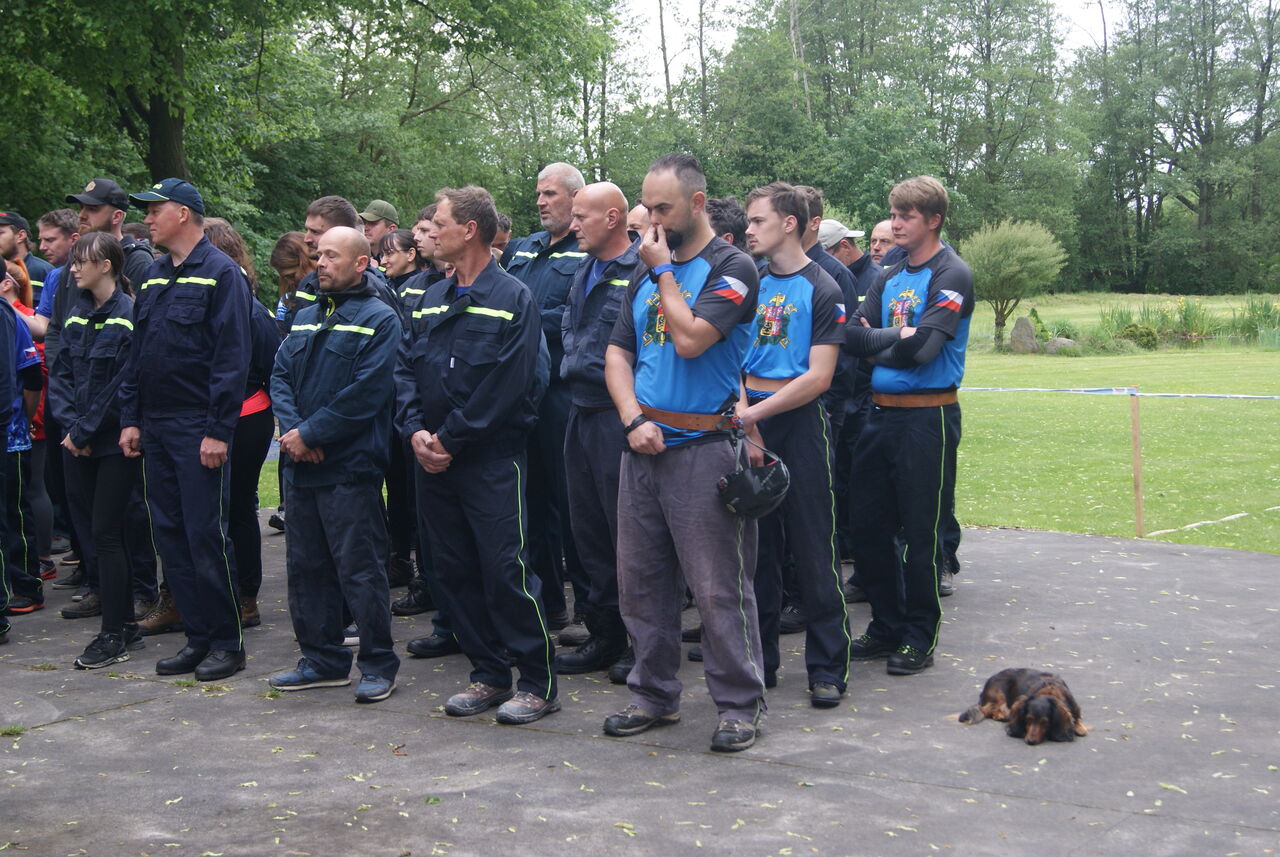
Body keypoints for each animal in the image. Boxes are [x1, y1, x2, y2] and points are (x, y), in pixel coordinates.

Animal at [958, 667, 1089, 745]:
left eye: (1045, 722)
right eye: (1028, 719)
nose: (1030, 741)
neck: (1050, 691)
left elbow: (1078, 720)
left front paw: (1080, 727)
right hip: (999, 696)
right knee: (989, 710)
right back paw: (1001, 715)